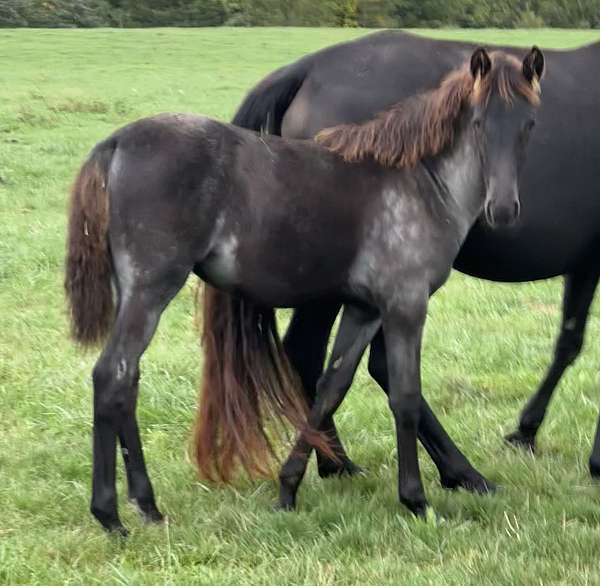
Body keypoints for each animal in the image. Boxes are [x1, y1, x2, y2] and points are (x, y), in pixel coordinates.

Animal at [65, 45, 544, 528]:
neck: (419, 181)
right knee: (113, 375)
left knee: (128, 380)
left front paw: (288, 488)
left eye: (529, 123)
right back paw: (111, 514)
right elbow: (405, 396)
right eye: (479, 122)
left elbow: (332, 388)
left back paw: (145, 506)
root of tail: (117, 143)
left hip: (136, 293)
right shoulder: (405, 305)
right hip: (151, 288)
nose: (504, 209)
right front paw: (416, 499)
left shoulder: (365, 310)